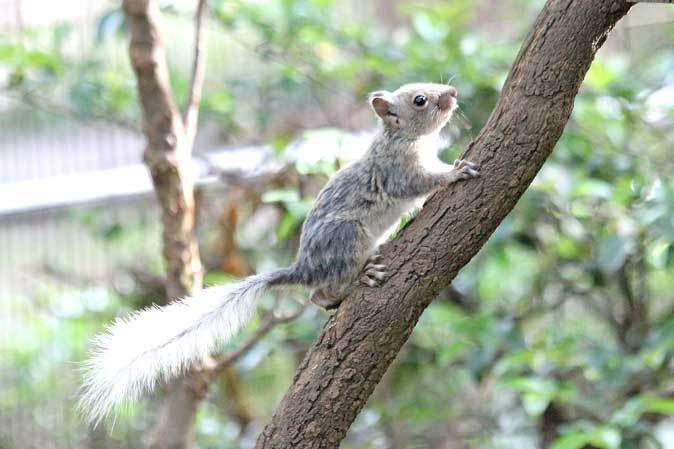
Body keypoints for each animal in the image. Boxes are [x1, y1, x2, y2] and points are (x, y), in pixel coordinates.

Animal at [79, 83, 478, 424]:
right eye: (420, 100)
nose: (453, 92)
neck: (403, 138)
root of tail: (303, 269)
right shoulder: (398, 170)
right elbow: (420, 182)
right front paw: (455, 172)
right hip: (348, 237)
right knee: (321, 292)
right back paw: (358, 278)